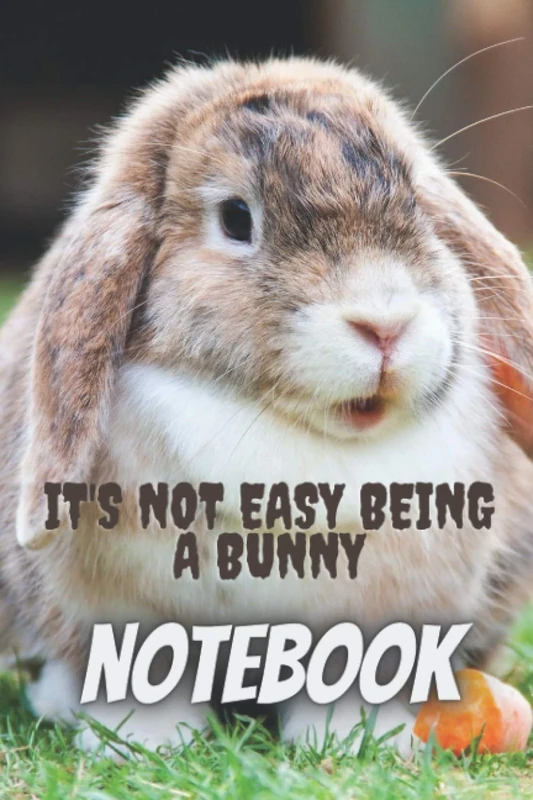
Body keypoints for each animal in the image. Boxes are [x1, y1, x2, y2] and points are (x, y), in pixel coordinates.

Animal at [1, 56, 533, 758]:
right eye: (235, 218)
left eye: (418, 203)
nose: (385, 325)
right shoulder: (126, 609)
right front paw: (145, 741)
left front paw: (358, 740)